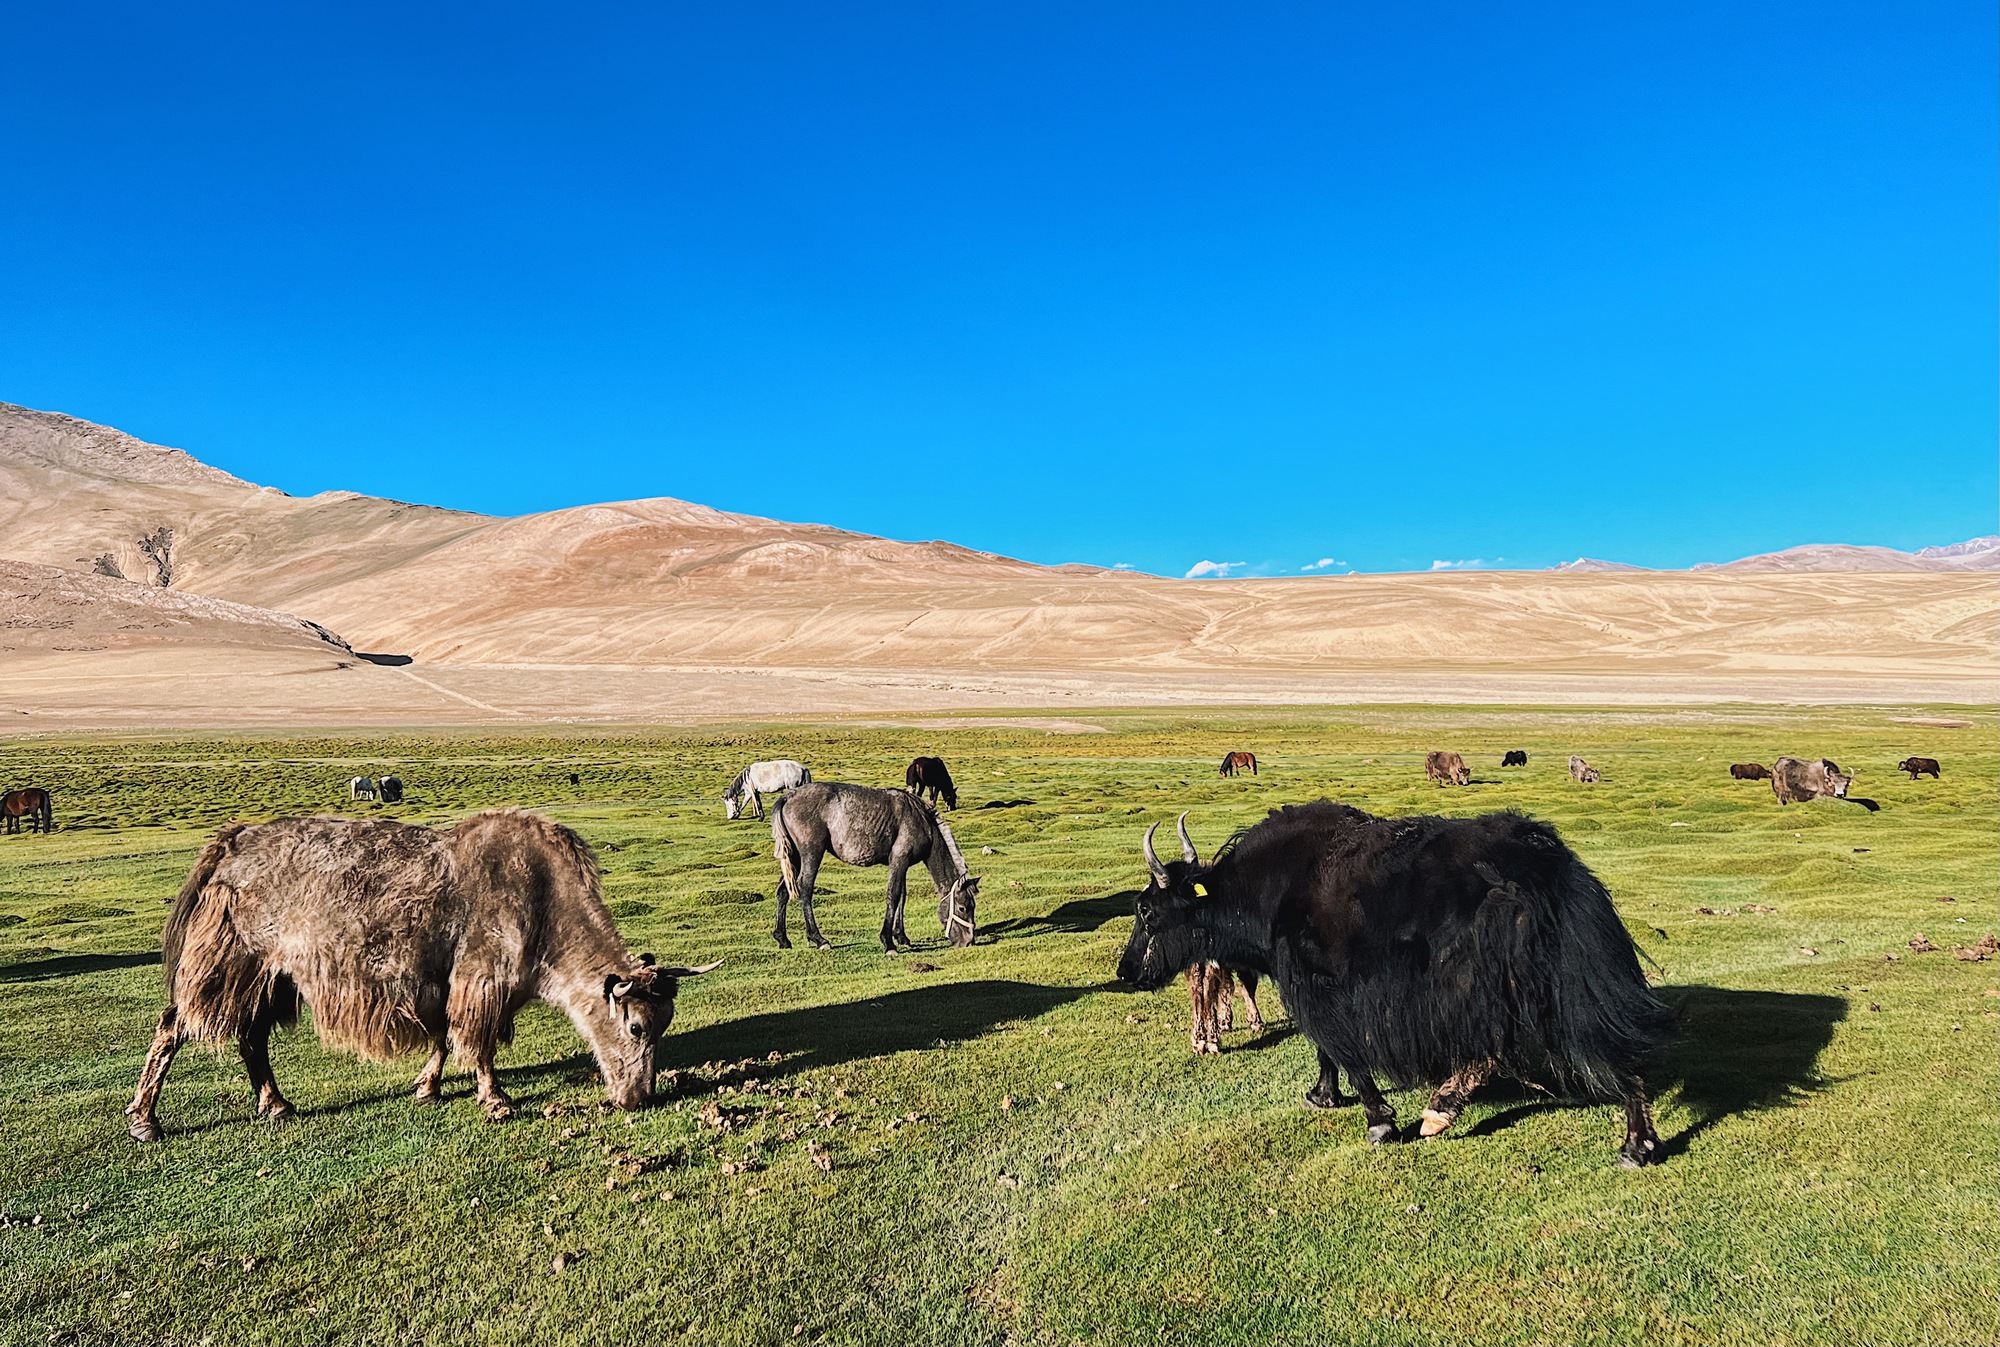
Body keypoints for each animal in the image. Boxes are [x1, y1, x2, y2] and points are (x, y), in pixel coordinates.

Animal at [125, 807, 720, 1135]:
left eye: (665, 1024)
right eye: (636, 1026)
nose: (637, 1098)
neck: (545, 898)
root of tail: (231, 841)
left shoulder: (441, 982)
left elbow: (443, 1038)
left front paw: (428, 1088)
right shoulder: (481, 978)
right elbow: (477, 1042)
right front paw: (497, 1102)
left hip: (273, 975)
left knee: (252, 1037)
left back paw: (276, 1106)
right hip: (231, 961)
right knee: (175, 1025)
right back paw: (145, 1120)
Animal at [768, 775, 980, 955]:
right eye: (963, 908)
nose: (969, 942)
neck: (923, 822)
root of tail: (787, 797)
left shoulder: (903, 864)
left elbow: (902, 896)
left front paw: (901, 936)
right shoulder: (899, 860)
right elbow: (893, 895)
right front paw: (888, 942)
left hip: (794, 857)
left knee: (783, 890)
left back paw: (783, 939)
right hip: (811, 854)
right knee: (805, 887)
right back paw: (819, 939)